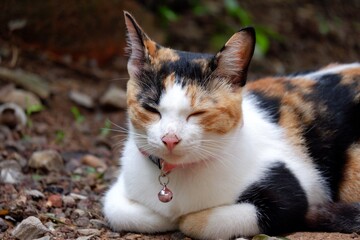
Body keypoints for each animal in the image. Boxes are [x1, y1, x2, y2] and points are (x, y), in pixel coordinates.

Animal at [102, 11, 360, 240]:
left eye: (198, 113)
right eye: (151, 109)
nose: (170, 139)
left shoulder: (290, 194)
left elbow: (197, 222)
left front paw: (181, 218)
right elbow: (113, 207)